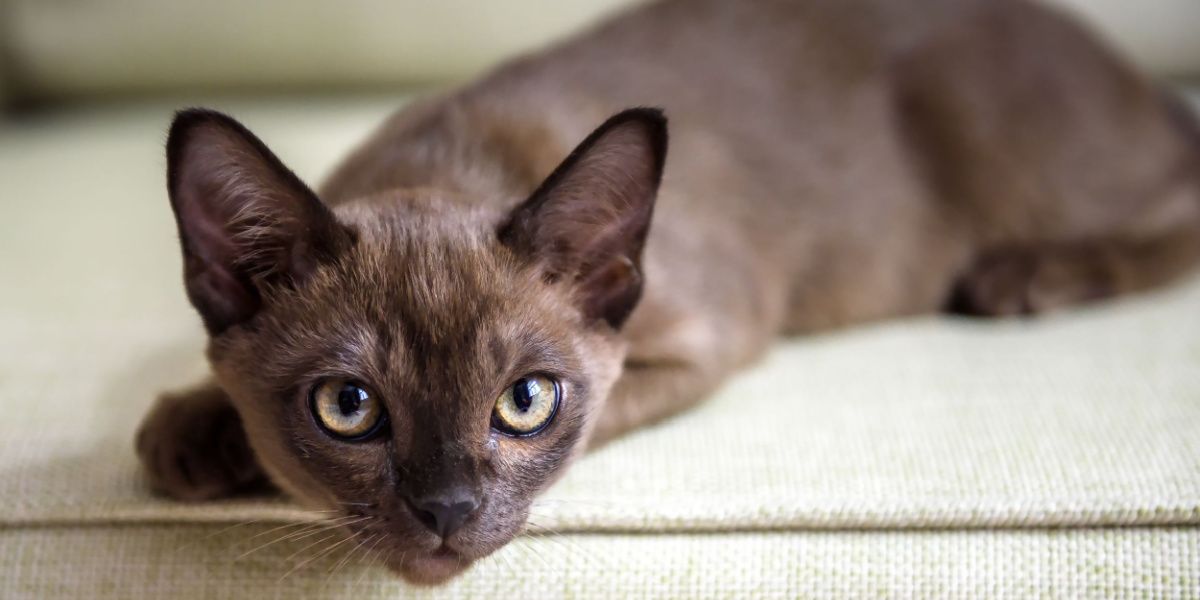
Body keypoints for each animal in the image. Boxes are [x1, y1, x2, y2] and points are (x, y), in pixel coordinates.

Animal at [133, 0, 1200, 585]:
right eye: (348, 407)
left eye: (526, 402)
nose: (446, 511)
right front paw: (193, 435)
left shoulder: (702, 342)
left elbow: (601, 419)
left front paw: (222, 453)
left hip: (1009, 154)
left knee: (1181, 206)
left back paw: (1028, 278)